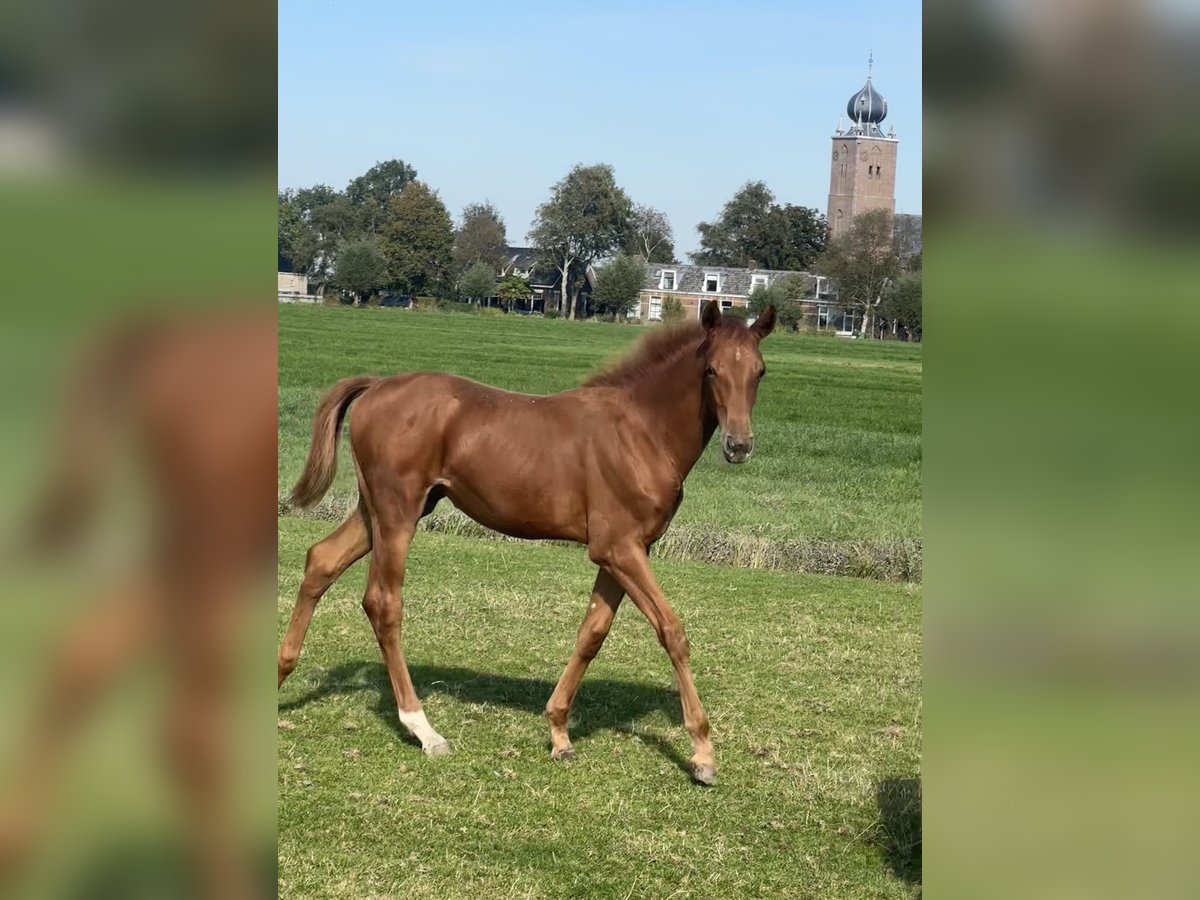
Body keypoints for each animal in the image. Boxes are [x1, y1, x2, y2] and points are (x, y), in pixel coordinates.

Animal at [285, 301, 782, 782]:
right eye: (712, 370)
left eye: (759, 371)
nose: (739, 445)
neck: (640, 431)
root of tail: (376, 386)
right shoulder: (619, 548)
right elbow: (671, 630)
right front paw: (703, 753)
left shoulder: (623, 551)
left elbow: (592, 632)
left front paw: (559, 733)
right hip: (397, 514)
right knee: (383, 602)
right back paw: (424, 729)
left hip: (379, 512)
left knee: (321, 560)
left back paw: (281, 672)